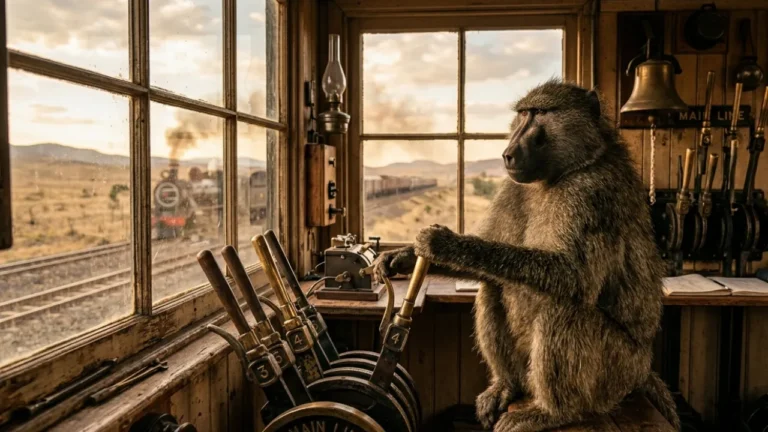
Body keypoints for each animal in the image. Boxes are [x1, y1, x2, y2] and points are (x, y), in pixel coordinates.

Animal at [372, 80, 680, 431]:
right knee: (491, 289)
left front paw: (443, 243)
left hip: (618, 370)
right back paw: (508, 386)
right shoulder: (514, 188)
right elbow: (490, 269)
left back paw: (554, 412)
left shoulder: (592, 193)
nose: (508, 153)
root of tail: (643, 368)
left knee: (564, 307)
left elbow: (572, 276)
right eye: (522, 114)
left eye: (540, 113)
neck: (564, 172)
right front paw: (400, 258)